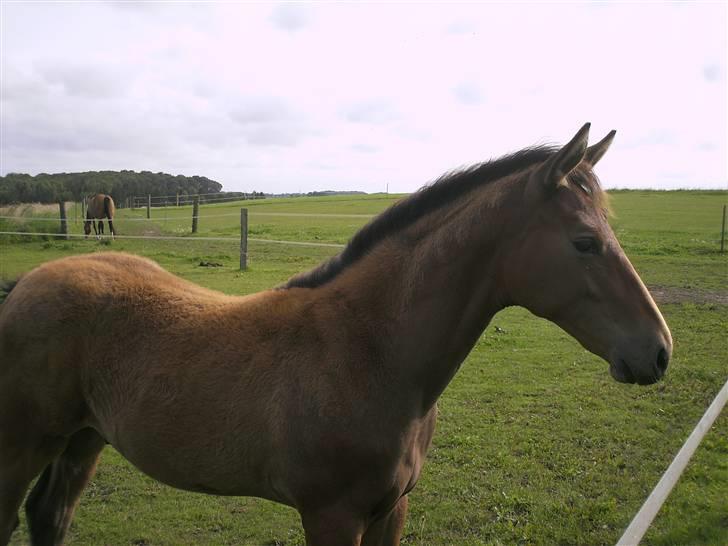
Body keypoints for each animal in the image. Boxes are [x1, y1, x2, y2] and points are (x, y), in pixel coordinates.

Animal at [0, 124, 672, 544]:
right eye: (585, 242)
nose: (659, 352)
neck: (367, 352)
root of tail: (28, 281)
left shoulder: (389, 512)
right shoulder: (332, 516)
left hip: (84, 439)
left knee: (50, 517)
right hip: (25, 444)